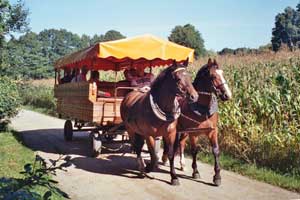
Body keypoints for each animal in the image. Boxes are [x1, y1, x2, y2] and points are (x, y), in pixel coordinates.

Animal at [163, 57, 233, 186]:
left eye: (222, 73)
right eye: (213, 76)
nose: (227, 95)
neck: (202, 107)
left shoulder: (212, 131)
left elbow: (216, 150)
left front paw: (217, 176)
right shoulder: (193, 133)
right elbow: (194, 151)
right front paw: (195, 171)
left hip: (183, 131)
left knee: (181, 143)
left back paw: (182, 164)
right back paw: (165, 158)